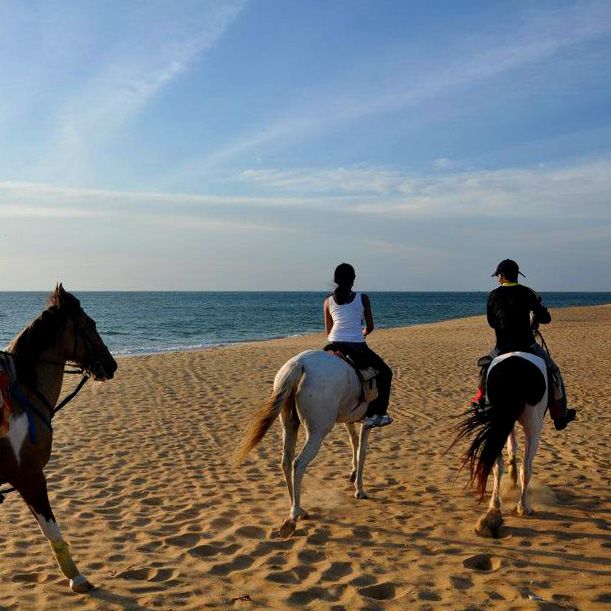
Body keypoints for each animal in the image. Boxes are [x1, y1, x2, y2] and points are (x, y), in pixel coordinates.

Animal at [235, 352, 376, 536]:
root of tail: (299, 364)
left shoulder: (349, 419)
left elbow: (354, 441)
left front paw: (353, 473)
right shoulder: (368, 421)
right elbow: (362, 451)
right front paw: (359, 490)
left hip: (289, 424)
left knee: (286, 462)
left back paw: (298, 509)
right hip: (317, 432)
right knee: (299, 463)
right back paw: (294, 514)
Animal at [454, 352, 548, 536]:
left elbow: (511, 447)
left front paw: (511, 475)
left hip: (499, 421)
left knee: (496, 464)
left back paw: (493, 513)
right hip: (533, 426)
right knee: (526, 469)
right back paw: (523, 507)